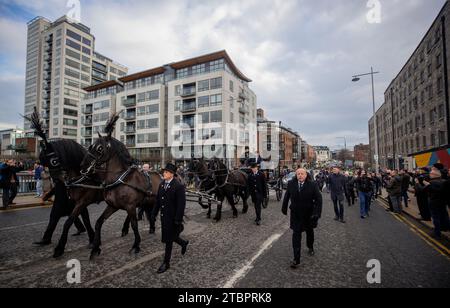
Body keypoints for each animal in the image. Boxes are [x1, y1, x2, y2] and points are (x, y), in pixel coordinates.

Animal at [81, 112, 161, 258]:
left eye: (100, 148)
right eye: (90, 146)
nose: (83, 166)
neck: (119, 179)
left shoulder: (130, 206)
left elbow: (135, 225)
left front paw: (136, 245)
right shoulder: (113, 206)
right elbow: (98, 222)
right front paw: (95, 248)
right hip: (147, 202)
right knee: (149, 213)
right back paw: (151, 227)